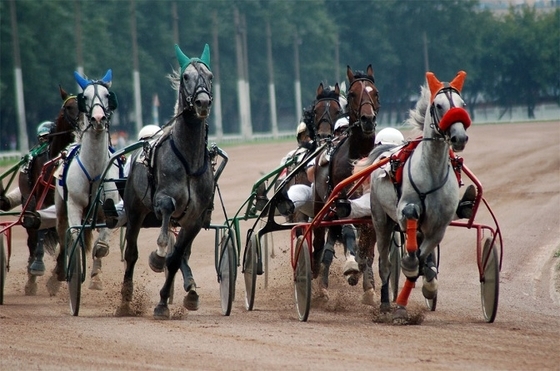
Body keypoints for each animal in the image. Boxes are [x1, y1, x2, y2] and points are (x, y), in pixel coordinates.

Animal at [50, 70, 120, 294]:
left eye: (107, 95)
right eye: (85, 97)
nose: (98, 118)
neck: (94, 170)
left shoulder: (110, 209)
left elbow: (101, 247)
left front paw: (96, 278)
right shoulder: (74, 204)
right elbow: (73, 238)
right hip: (61, 207)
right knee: (63, 234)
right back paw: (58, 274)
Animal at [122, 44, 214, 320]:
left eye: (210, 76)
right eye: (186, 77)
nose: (202, 101)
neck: (189, 160)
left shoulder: (195, 218)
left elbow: (175, 259)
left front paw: (163, 303)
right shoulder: (162, 198)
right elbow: (166, 211)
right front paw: (158, 255)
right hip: (134, 209)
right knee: (131, 253)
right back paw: (126, 297)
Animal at [310, 65, 380, 306]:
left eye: (376, 93)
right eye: (352, 94)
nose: (367, 119)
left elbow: (368, 248)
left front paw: (369, 288)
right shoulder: (341, 201)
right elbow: (348, 232)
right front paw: (351, 266)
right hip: (321, 206)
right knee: (320, 245)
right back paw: (318, 282)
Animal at [366, 71, 470, 324]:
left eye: (462, 104)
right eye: (439, 105)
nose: (459, 137)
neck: (431, 173)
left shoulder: (438, 227)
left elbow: (423, 261)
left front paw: (426, 288)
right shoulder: (404, 210)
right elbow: (411, 223)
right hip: (380, 220)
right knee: (384, 264)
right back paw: (385, 303)